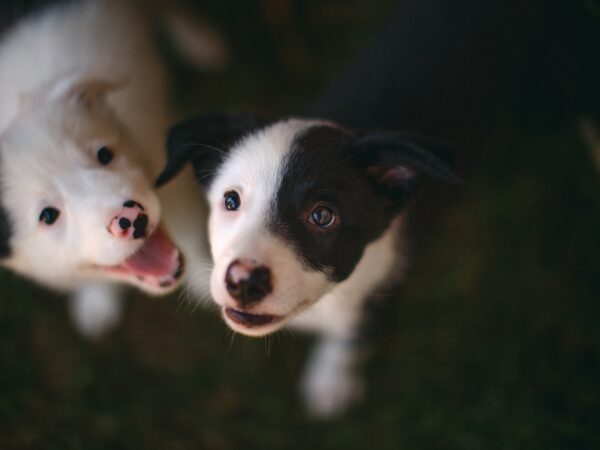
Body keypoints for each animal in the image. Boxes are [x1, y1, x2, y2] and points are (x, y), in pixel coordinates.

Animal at [0, 0, 213, 338]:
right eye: (48, 216)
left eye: (104, 154)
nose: (131, 218)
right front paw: (97, 304)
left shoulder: (169, 174)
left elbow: (190, 228)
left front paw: (209, 282)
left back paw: (201, 43)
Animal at [156, 114, 460, 416]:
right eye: (231, 200)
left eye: (322, 216)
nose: (243, 281)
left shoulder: (381, 285)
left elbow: (352, 335)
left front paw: (331, 383)